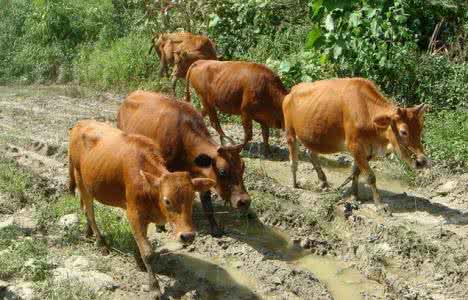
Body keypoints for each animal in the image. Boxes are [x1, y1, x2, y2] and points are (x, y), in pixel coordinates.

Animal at [68, 120, 215, 298]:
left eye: (192, 199)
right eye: (167, 201)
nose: (187, 236)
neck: (149, 188)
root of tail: (80, 123)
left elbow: (141, 244)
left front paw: (139, 262)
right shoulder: (134, 215)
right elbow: (148, 252)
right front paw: (154, 287)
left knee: (84, 209)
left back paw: (88, 232)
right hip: (81, 181)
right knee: (90, 212)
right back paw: (101, 243)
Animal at [116, 90, 249, 236]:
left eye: (242, 168)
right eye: (223, 171)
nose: (244, 201)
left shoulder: (202, 174)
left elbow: (207, 202)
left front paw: (215, 228)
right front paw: (160, 225)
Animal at [282, 77, 428, 213]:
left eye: (421, 128)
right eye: (403, 132)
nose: (422, 162)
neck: (368, 113)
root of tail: (291, 92)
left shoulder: (366, 150)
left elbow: (356, 172)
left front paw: (354, 196)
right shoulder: (354, 146)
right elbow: (370, 176)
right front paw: (380, 205)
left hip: (314, 137)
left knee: (311, 153)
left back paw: (323, 182)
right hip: (290, 132)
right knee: (293, 160)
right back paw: (295, 184)